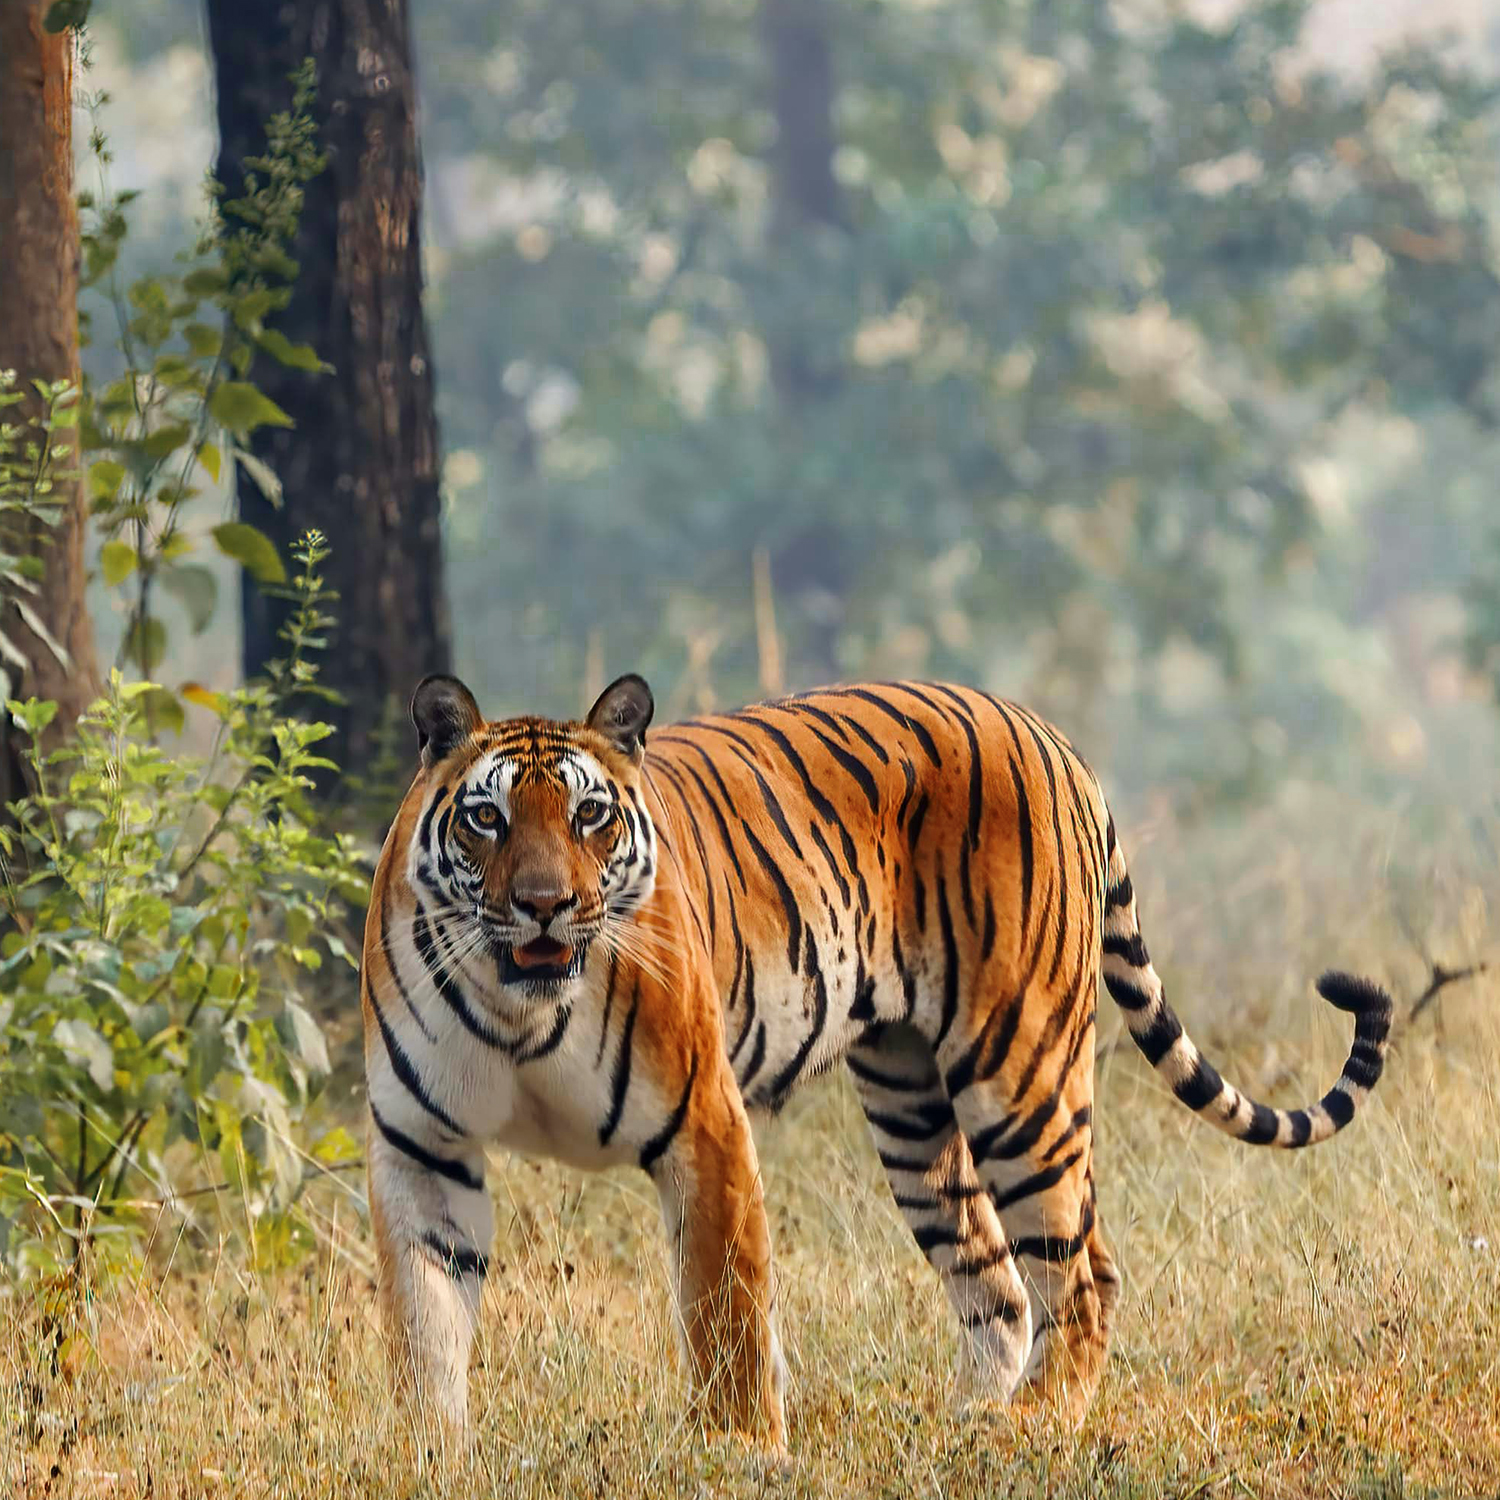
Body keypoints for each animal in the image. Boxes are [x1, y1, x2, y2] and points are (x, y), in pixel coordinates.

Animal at [363, 669, 1392, 1440]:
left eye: (589, 817)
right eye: (487, 819)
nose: (543, 905)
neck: (521, 1009)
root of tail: (1051, 734)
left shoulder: (705, 1126)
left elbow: (726, 1315)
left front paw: (740, 1455)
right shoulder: (421, 1148)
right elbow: (424, 1329)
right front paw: (435, 1458)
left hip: (1020, 1074)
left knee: (1083, 1273)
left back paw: (1035, 1426)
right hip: (911, 1105)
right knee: (997, 1284)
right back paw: (967, 1423)